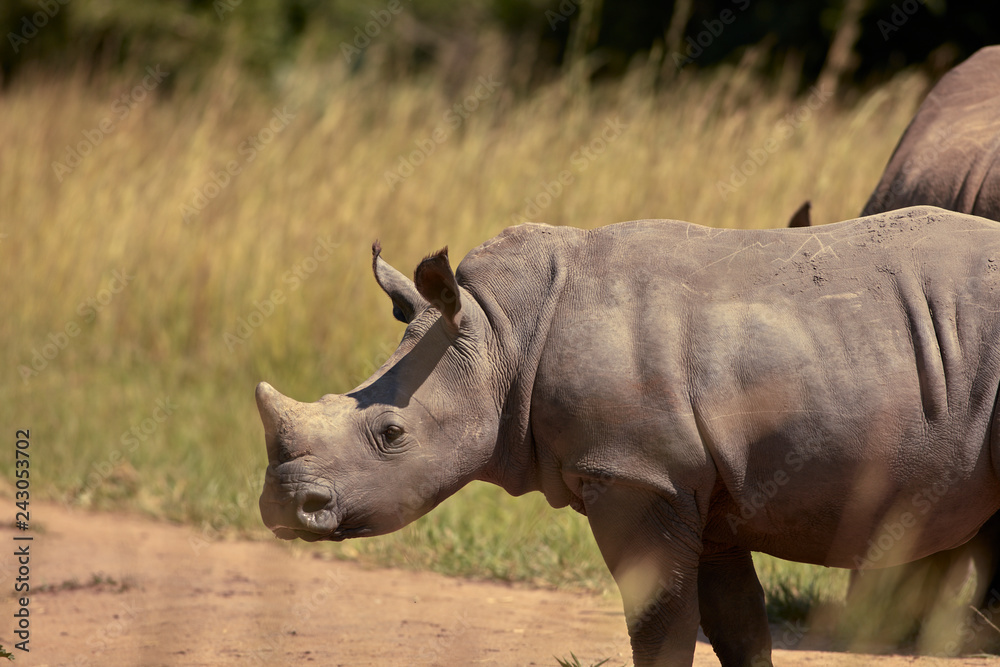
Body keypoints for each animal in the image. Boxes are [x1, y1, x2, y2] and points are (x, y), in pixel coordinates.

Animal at [257, 206, 1000, 667]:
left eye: (391, 433)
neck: (501, 335)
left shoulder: (635, 473)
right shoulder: (699, 485)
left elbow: (660, 620)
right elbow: (737, 624)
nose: (285, 507)